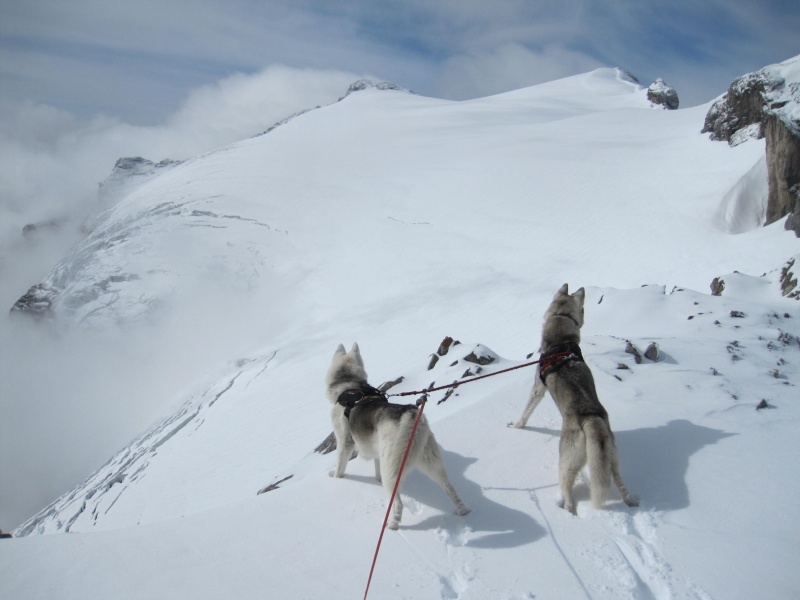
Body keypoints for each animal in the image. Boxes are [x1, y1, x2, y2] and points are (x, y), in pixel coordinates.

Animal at [324, 342, 468, 528]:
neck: (350, 387)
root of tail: (411, 416)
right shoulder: (376, 451)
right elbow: (376, 470)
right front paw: (375, 480)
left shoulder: (344, 443)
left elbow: (340, 468)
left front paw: (336, 478)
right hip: (432, 462)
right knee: (449, 487)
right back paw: (462, 510)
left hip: (392, 468)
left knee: (398, 503)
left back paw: (392, 524)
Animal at [512, 284, 636, 512]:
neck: (561, 343)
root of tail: (591, 417)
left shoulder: (538, 388)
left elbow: (526, 411)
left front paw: (516, 426)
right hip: (611, 456)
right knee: (618, 480)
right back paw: (631, 501)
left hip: (567, 461)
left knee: (567, 488)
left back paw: (567, 508)